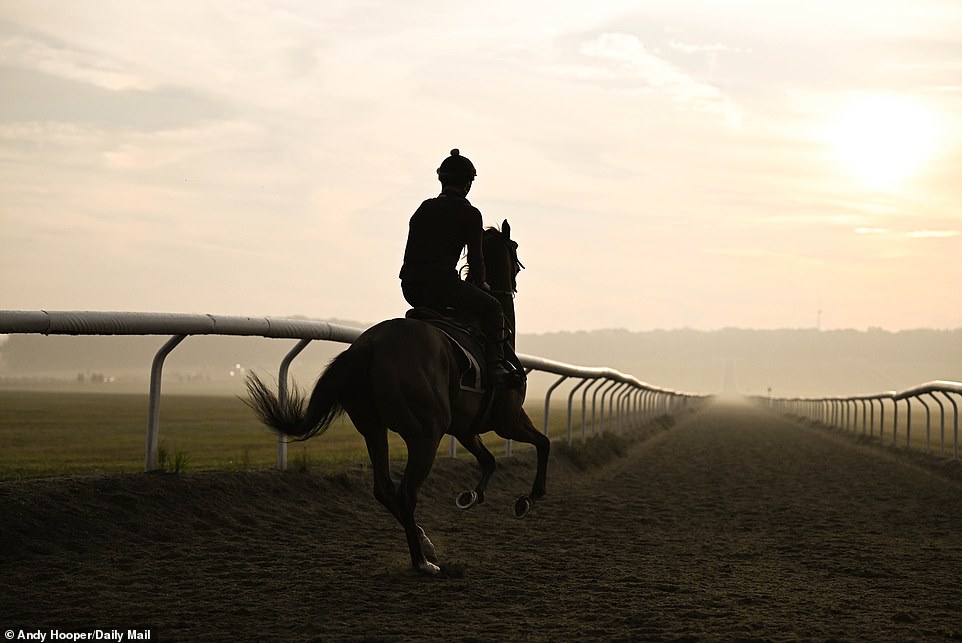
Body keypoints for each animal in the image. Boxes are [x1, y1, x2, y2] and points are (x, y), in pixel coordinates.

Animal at [246, 219, 548, 576]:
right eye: (514, 251)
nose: (514, 282)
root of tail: (368, 346)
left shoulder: (463, 427)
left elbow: (489, 460)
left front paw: (471, 496)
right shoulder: (507, 419)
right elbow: (543, 443)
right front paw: (527, 499)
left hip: (373, 427)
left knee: (384, 488)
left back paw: (426, 544)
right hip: (425, 433)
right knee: (405, 493)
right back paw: (423, 562)